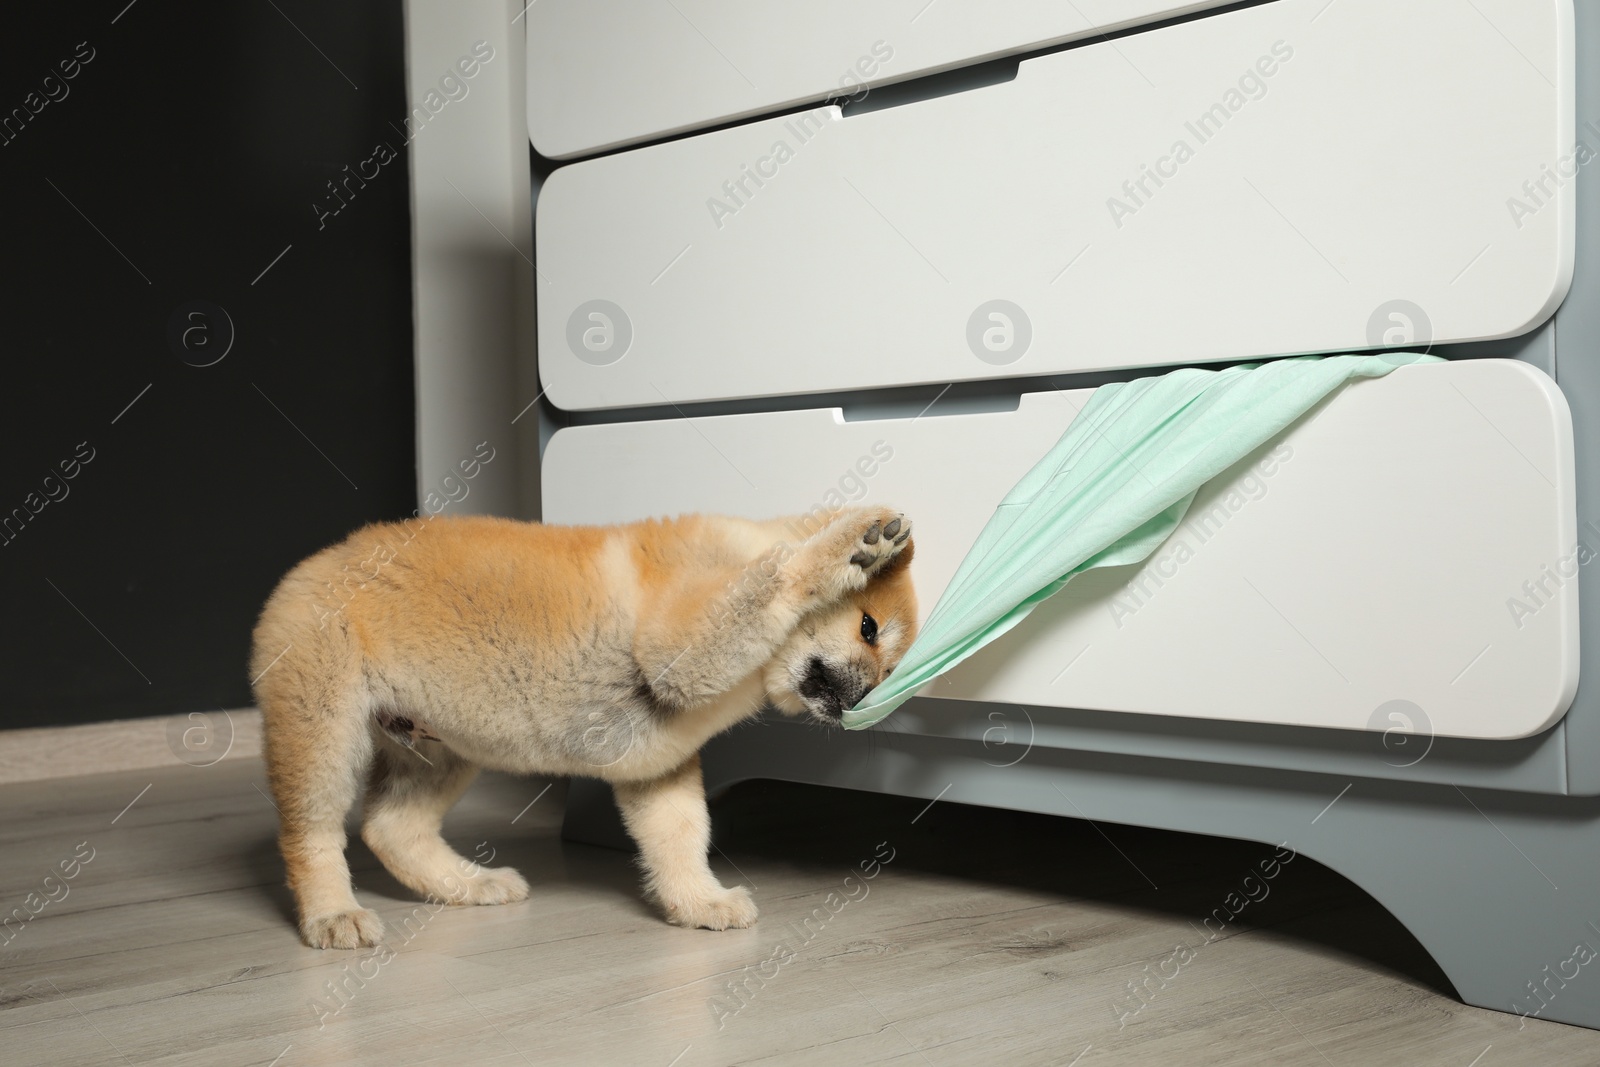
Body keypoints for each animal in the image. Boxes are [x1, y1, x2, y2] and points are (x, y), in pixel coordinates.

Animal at [256, 505, 921, 947]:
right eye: (868, 629)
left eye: (892, 671)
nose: (864, 700)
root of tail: (310, 567)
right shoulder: (679, 645)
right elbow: (774, 580)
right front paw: (848, 550)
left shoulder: (660, 765)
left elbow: (682, 838)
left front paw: (698, 902)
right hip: (324, 735)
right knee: (309, 837)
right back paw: (332, 915)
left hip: (439, 750)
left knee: (391, 829)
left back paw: (468, 885)